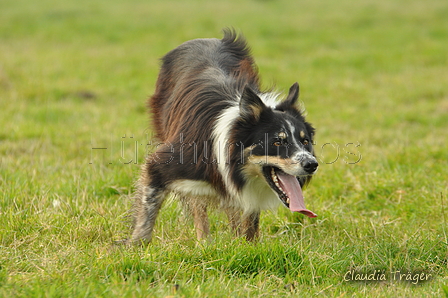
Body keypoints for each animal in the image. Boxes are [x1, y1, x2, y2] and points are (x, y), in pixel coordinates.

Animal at [130, 29, 318, 243]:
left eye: (305, 141)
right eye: (278, 141)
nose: (312, 164)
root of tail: (204, 38)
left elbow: (249, 219)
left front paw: (248, 246)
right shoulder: (162, 164)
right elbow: (147, 214)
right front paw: (136, 245)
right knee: (198, 205)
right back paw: (204, 242)